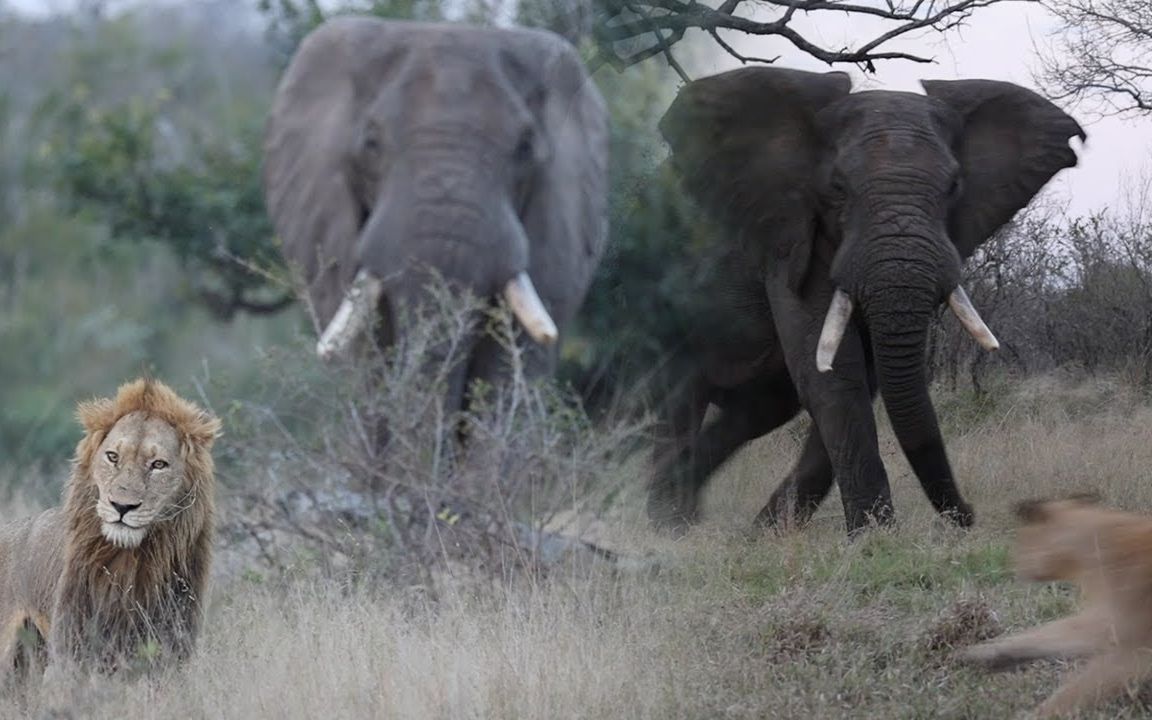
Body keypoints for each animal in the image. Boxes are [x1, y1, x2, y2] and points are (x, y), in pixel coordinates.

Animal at [0, 375, 221, 677]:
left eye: (158, 464)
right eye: (113, 457)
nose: (122, 506)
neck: (131, 561)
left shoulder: (172, 644)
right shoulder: (73, 646)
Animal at [654, 65, 1082, 534]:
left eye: (954, 186)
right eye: (838, 187)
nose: (970, 514)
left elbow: (864, 376)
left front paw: (784, 534)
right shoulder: (790, 237)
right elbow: (834, 377)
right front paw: (873, 537)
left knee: (760, 408)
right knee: (681, 400)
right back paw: (663, 521)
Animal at [958, 490, 1152, 714]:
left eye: (1020, 541)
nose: (1013, 568)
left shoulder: (1130, 650)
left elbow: (1072, 692)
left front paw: (1035, 714)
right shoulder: (1106, 623)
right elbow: (1044, 634)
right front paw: (981, 653)